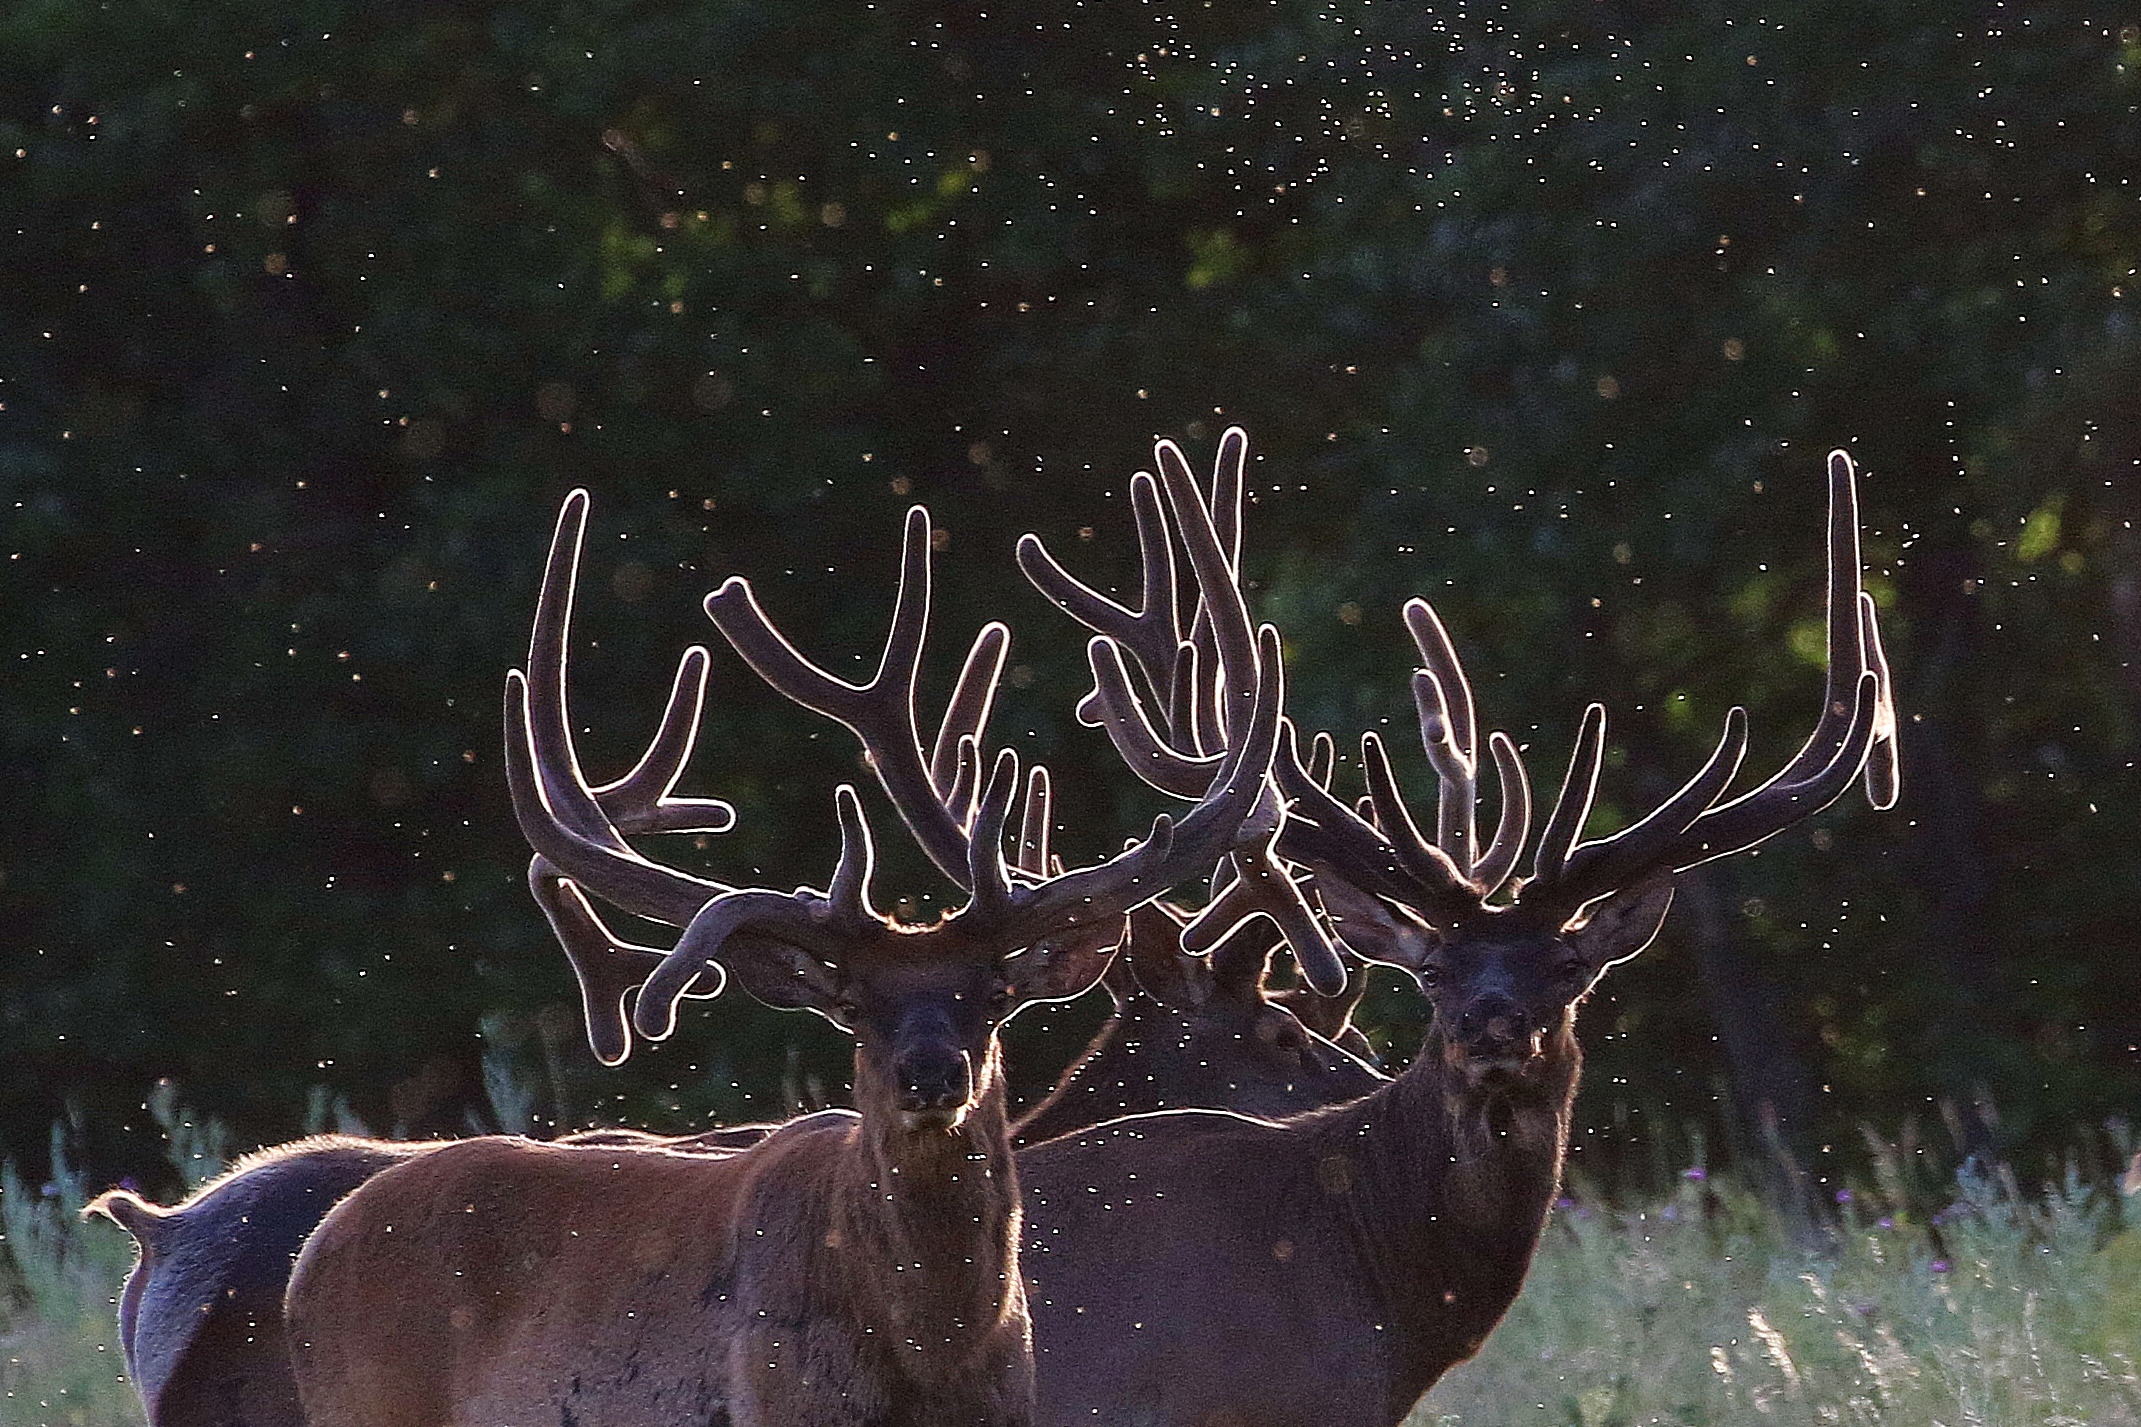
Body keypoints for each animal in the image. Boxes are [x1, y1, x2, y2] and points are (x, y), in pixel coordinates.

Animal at [282, 492, 1284, 1427]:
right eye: (853, 1004)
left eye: (994, 993)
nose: (929, 1071)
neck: (931, 1361)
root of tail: (313, 1253)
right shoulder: (778, 1397)